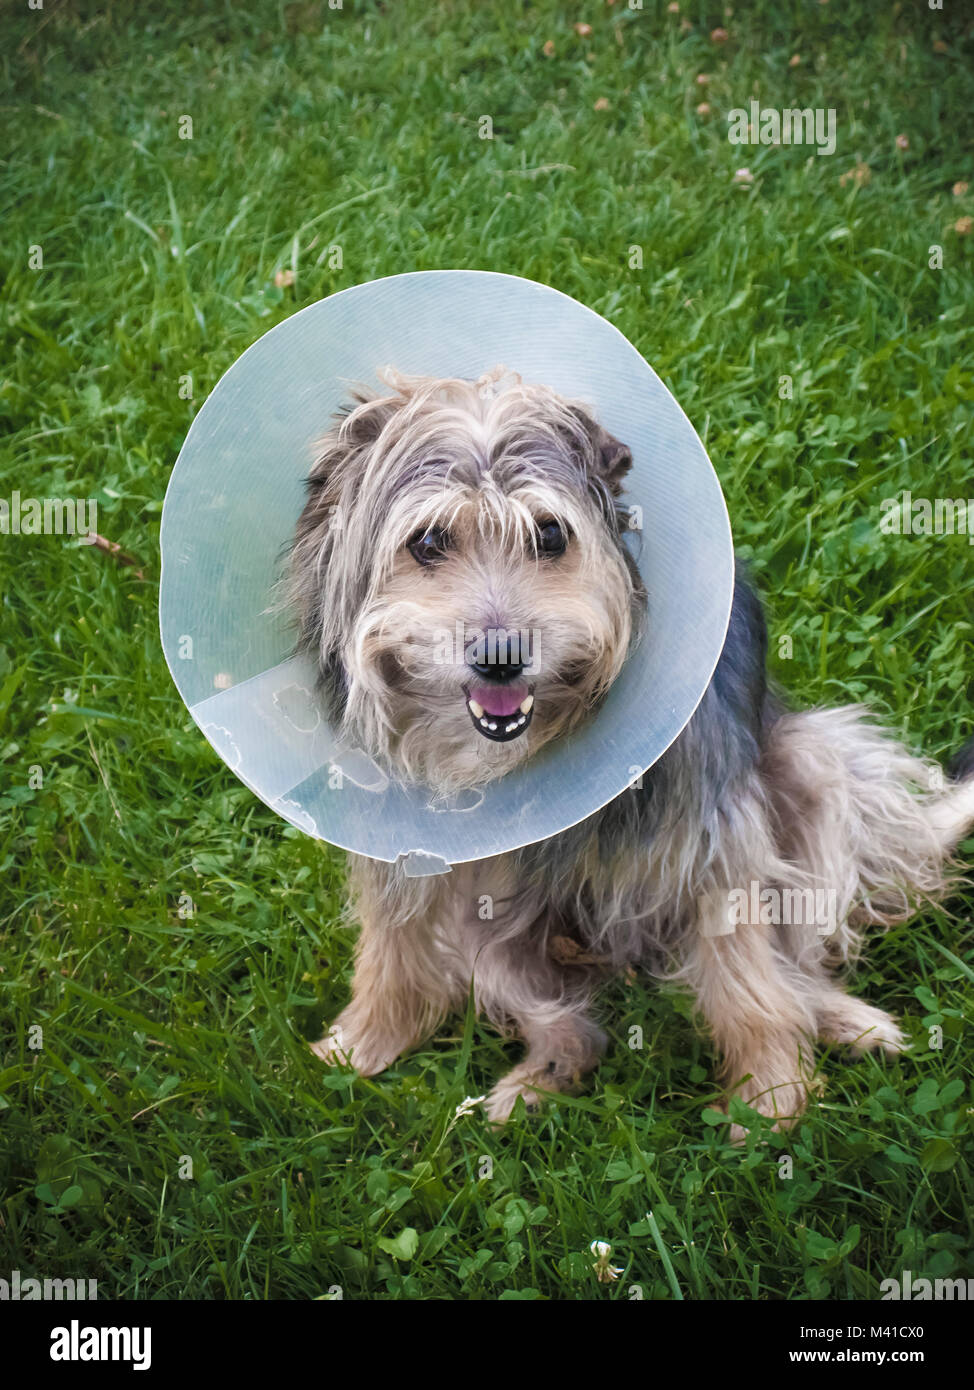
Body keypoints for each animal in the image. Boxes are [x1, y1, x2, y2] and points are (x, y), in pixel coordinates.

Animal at [283, 366, 972, 1128]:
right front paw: (360, 1044)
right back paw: (536, 1083)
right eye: (428, 542)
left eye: (550, 534)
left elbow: (749, 974)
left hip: (815, 764)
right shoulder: (401, 844)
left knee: (796, 961)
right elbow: (391, 947)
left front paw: (769, 1093)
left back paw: (846, 1019)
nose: (501, 659)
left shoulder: (713, 835)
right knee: (576, 1027)